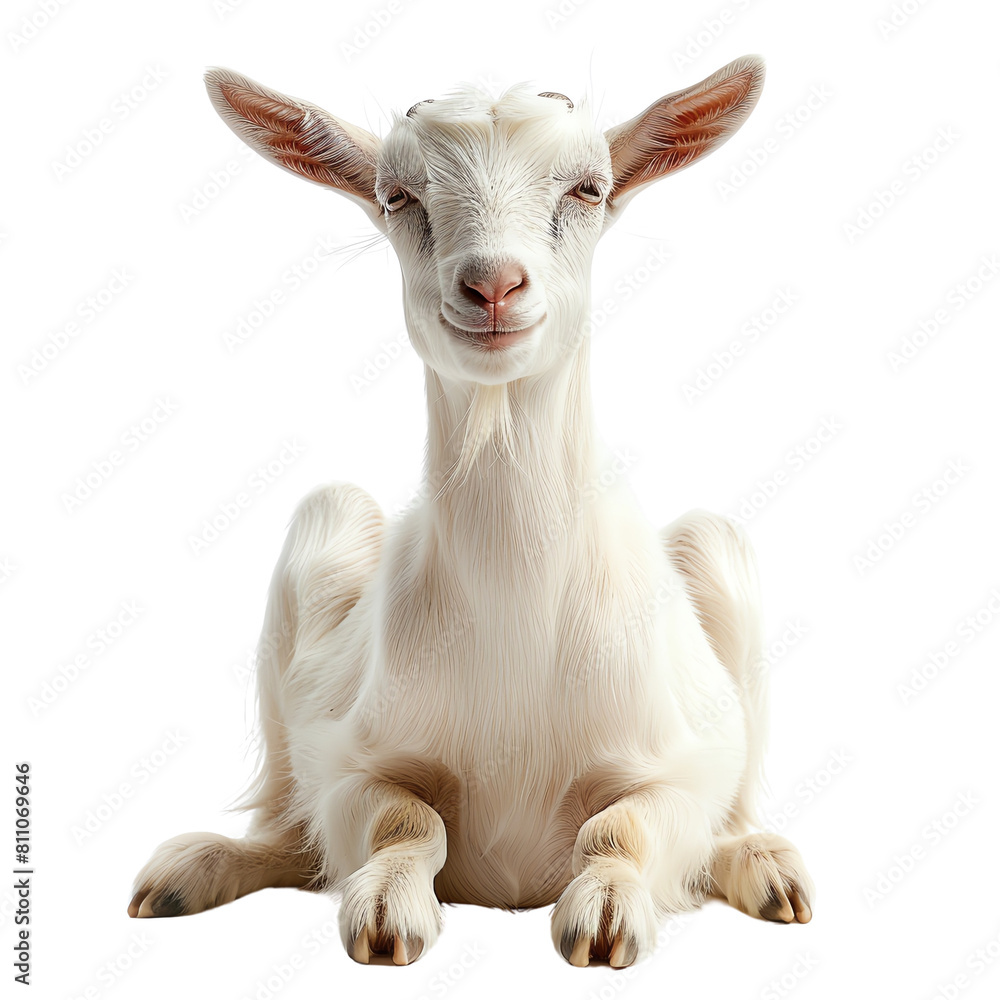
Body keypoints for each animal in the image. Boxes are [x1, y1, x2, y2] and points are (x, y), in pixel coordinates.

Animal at [128, 56, 813, 968]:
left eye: (589, 188)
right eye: (397, 196)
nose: (492, 283)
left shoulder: (682, 766)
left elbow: (622, 827)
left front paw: (604, 915)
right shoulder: (346, 758)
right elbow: (403, 819)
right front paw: (388, 910)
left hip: (717, 549)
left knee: (734, 806)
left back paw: (764, 866)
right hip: (322, 533)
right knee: (285, 815)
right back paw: (197, 867)